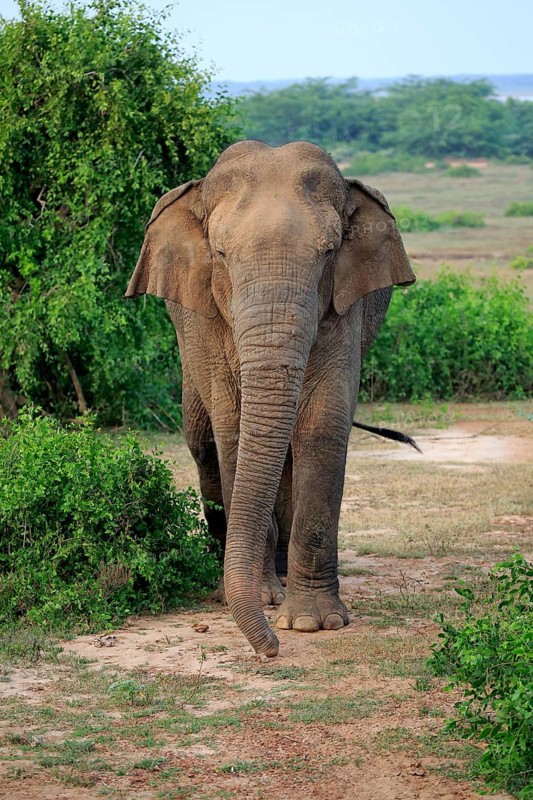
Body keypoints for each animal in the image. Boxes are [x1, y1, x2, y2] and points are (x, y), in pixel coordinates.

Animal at [125, 139, 415, 657]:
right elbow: (234, 429)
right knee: (203, 445)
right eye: (220, 254)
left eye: (329, 252)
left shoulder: (343, 306)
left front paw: (310, 624)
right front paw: (261, 601)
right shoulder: (207, 318)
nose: (269, 651)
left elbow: (322, 426)